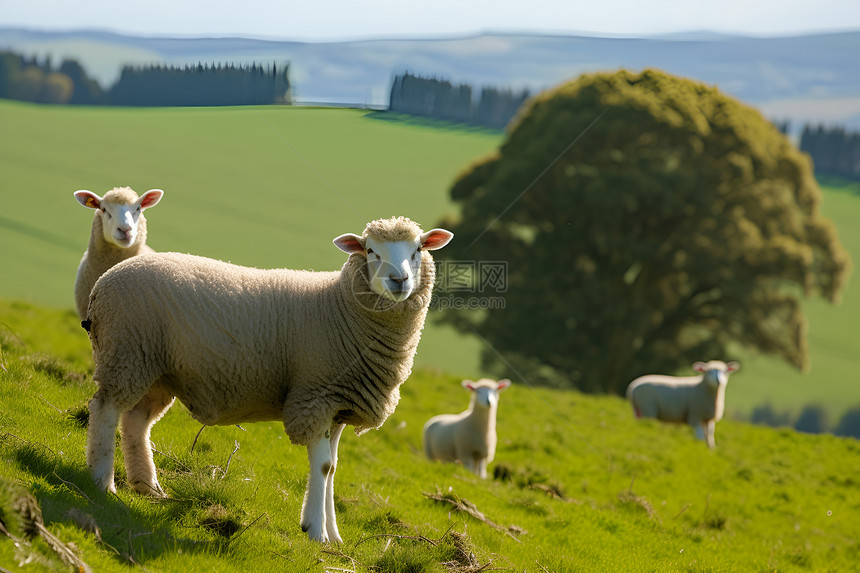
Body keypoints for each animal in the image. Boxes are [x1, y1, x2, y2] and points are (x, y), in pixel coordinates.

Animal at [81, 214, 454, 540]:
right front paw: (316, 533)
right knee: (105, 410)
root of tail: (103, 283)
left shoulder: (338, 404)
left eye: (417, 249)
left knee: (136, 422)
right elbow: (323, 467)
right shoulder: (315, 396)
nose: (399, 281)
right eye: (372, 250)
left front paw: (333, 536)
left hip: (157, 369)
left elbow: (333, 467)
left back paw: (147, 487)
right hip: (127, 351)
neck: (339, 307)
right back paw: (102, 482)